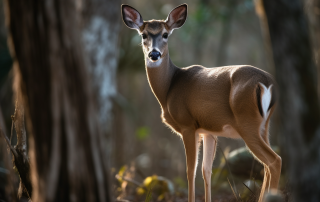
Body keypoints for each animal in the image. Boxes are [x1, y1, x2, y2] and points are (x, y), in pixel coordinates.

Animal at [121, 3, 282, 202]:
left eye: (165, 34)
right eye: (144, 35)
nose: (154, 54)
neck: (169, 88)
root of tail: (266, 82)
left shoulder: (187, 125)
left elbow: (191, 170)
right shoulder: (209, 131)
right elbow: (207, 170)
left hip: (247, 123)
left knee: (274, 161)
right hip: (264, 125)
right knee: (266, 165)